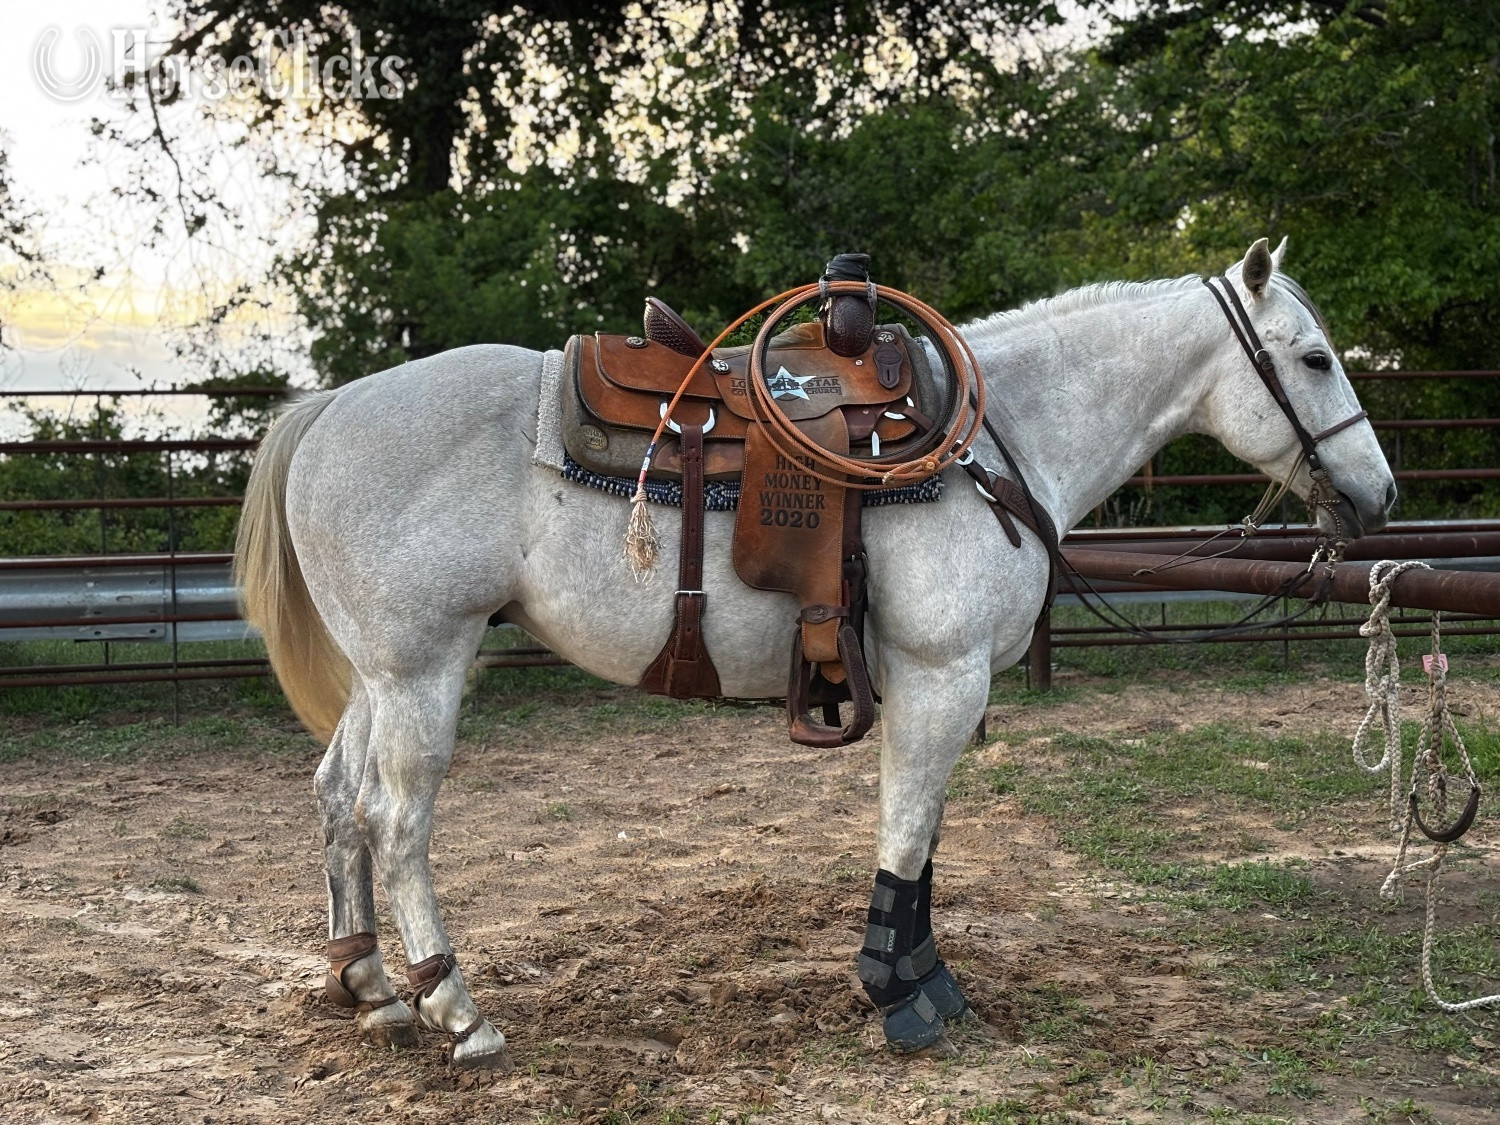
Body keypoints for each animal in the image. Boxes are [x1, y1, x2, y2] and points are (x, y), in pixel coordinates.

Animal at [234, 238, 1396, 1068]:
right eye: (1315, 358)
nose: (1380, 495)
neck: (992, 440)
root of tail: (334, 404)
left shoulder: (942, 685)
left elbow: (923, 839)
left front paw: (929, 977)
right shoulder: (940, 673)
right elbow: (907, 830)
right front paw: (896, 993)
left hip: (382, 677)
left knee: (336, 796)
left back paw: (370, 986)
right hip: (421, 671)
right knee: (396, 822)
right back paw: (455, 1007)